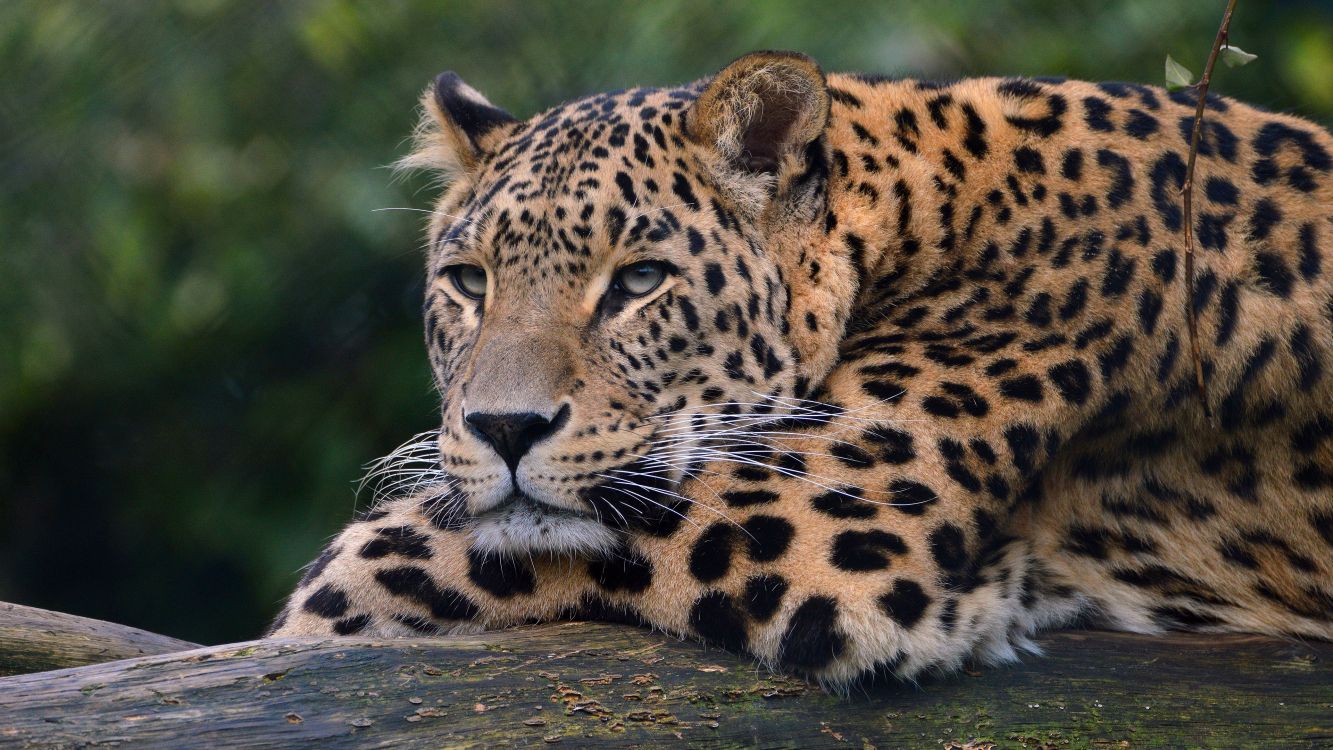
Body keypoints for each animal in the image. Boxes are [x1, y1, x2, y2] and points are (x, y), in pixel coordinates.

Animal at [269, 51, 1333, 689]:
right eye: (468, 281)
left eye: (640, 280)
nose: (503, 429)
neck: (921, 210)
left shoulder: (815, 527)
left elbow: (364, 570)